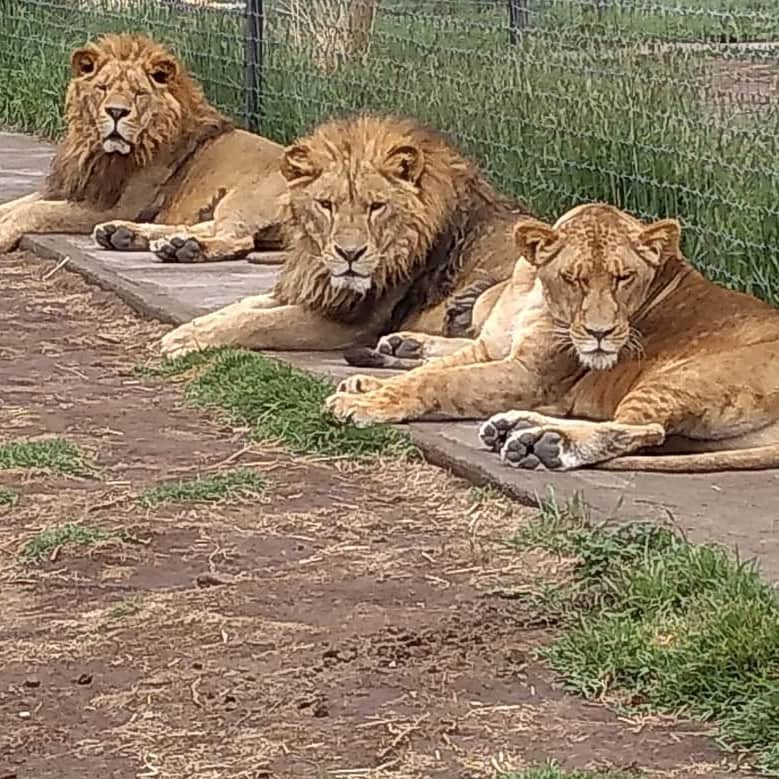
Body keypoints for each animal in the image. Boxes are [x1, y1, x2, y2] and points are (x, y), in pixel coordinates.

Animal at [0, 33, 286, 264]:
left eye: (138, 93)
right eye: (102, 87)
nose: (116, 112)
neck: (95, 148)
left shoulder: (115, 206)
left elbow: (36, 211)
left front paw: (4, 233)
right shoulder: (70, 189)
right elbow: (13, 205)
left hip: (246, 198)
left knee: (236, 238)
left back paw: (185, 249)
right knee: (201, 226)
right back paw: (130, 236)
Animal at [161, 112, 532, 360]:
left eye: (376, 206)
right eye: (326, 205)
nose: (349, 254)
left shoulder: (352, 323)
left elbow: (257, 323)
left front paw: (183, 342)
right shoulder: (314, 292)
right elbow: (241, 307)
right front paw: (188, 330)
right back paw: (408, 345)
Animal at [326, 204, 779, 472]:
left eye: (624, 278)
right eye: (573, 279)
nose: (600, 334)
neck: (532, 289)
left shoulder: (530, 375)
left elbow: (439, 382)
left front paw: (364, 403)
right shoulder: (492, 348)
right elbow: (432, 372)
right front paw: (367, 385)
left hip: (680, 378)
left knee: (643, 429)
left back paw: (542, 447)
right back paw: (516, 429)